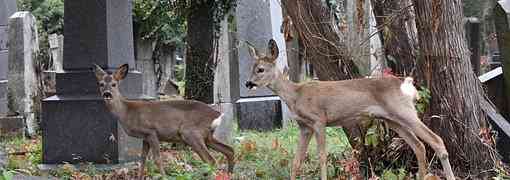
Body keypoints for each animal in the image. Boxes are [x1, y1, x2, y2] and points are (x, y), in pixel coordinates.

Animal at [94, 64, 235, 179]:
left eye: (114, 84)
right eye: (101, 84)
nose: (107, 94)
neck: (127, 112)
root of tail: (217, 114)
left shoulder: (151, 131)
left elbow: (157, 159)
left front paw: (164, 177)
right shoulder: (145, 138)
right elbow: (142, 160)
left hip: (190, 132)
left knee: (211, 160)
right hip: (207, 136)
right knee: (229, 150)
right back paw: (229, 174)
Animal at [245, 39, 456, 180]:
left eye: (261, 69)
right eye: (251, 67)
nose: (248, 83)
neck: (296, 95)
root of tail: (407, 83)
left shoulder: (319, 120)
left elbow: (321, 157)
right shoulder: (304, 127)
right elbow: (297, 162)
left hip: (404, 112)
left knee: (436, 140)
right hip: (392, 119)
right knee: (419, 146)